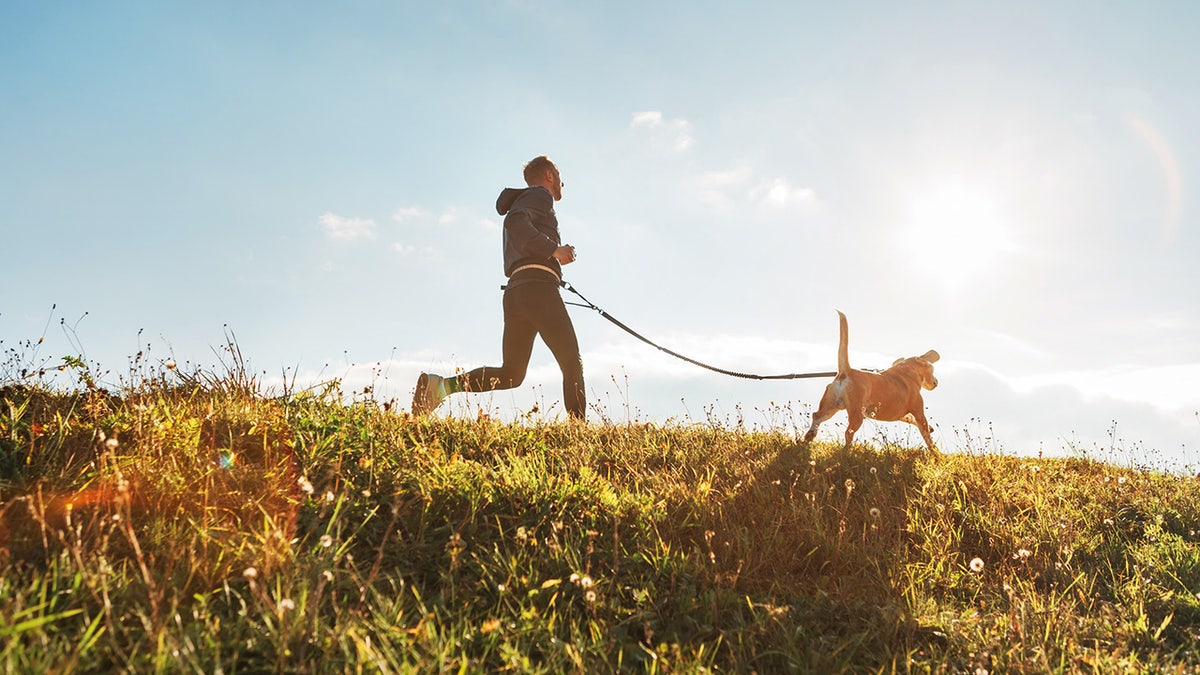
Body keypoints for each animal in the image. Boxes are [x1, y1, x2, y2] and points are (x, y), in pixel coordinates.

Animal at [801, 312, 940, 449]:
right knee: (848, 432)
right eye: (932, 368)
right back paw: (847, 450)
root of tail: (846, 371)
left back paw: (809, 437)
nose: (936, 382)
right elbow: (926, 435)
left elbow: (911, 419)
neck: (907, 370)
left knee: (816, 417)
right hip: (856, 414)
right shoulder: (918, 412)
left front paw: (931, 429)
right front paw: (935, 451)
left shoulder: (903, 415)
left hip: (830, 406)